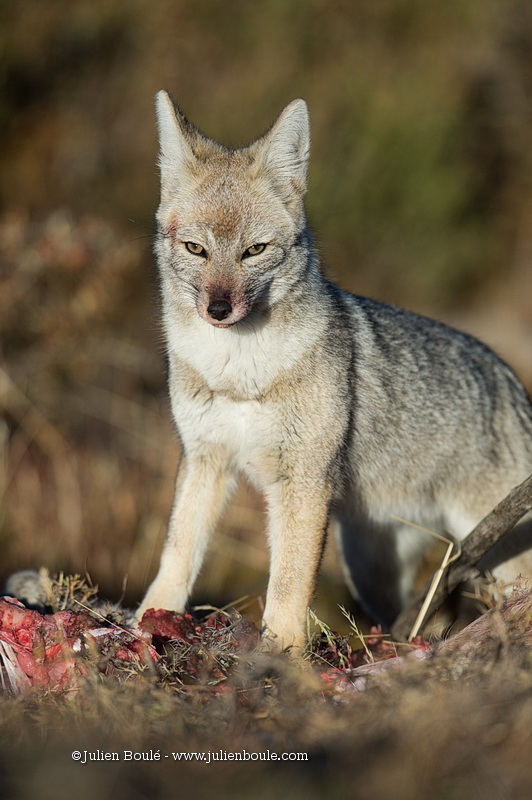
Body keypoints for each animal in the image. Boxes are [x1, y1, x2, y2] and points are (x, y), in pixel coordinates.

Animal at [136, 92, 532, 648]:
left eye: (254, 251)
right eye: (196, 249)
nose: (219, 309)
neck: (240, 374)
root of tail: (513, 383)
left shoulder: (301, 482)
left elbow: (288, 584)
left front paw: (279, 654)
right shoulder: (204, 460)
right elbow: (177, 554)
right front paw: (144, 623)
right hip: (368, 569)